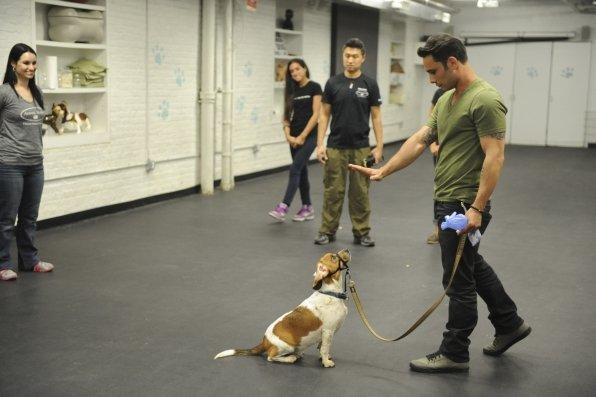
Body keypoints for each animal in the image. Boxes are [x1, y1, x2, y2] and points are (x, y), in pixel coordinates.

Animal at [215, 249, 350, 366]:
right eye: (333, 257)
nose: (347, 250)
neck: (331, 293)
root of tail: (264, 341)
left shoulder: (326, 334)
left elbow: (321, 347)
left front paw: (324, 359)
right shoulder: (328, 331)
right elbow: (324, 349)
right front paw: (326, 362)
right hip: (286, 347)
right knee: (271, 357)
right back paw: (290, 358)